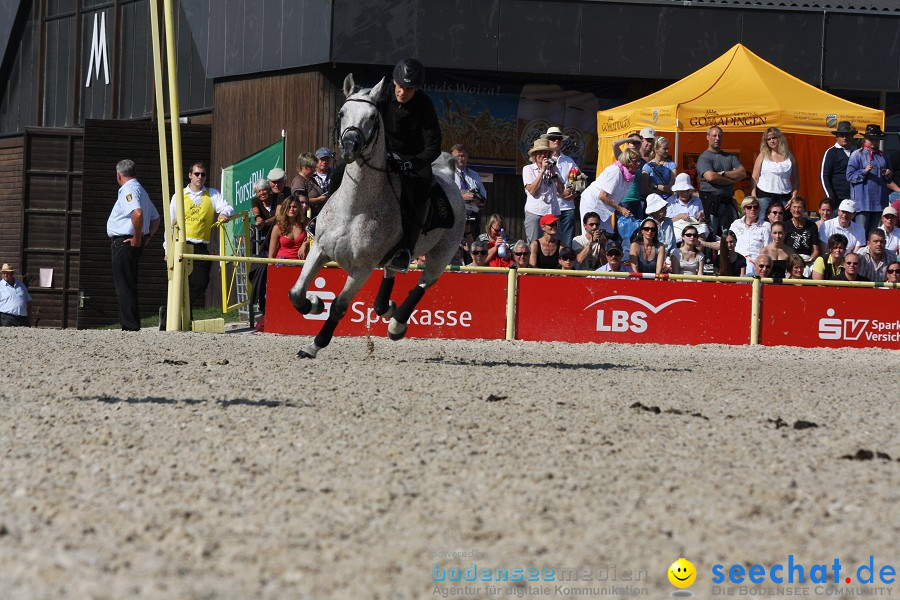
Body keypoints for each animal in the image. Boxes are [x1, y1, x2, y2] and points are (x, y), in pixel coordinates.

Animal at [288, 73, 468, 358]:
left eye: (372, 117)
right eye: (342, 113)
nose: (350, 147)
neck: (353, 208)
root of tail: (450, 177)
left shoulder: (361, 268)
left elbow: (339, 306)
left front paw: (315, 344)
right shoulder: (319, 249)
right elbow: (296, 293)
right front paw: (314, 303)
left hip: (441, 255)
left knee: (423, 285)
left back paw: (397, 324)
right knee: (391, 274)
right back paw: (387, 308)